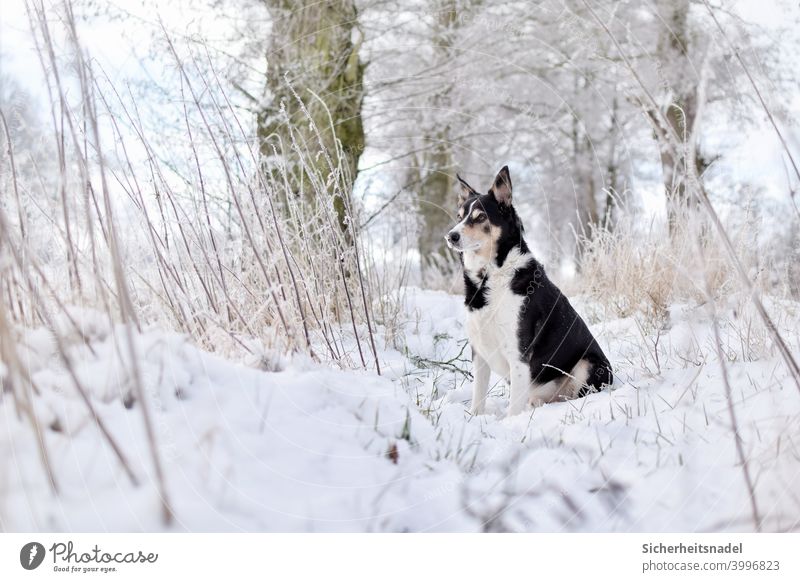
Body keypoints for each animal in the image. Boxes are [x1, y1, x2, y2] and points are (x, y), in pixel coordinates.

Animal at [444, 167, 612, 418]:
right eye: (459, 216)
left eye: (481, 217)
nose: (451, 236)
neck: (491, 276)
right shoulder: (480, 353)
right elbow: (478, 397)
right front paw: (475, 418)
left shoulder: (519, 355)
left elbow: (514, 408)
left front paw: (511, 423)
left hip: (589, 364)